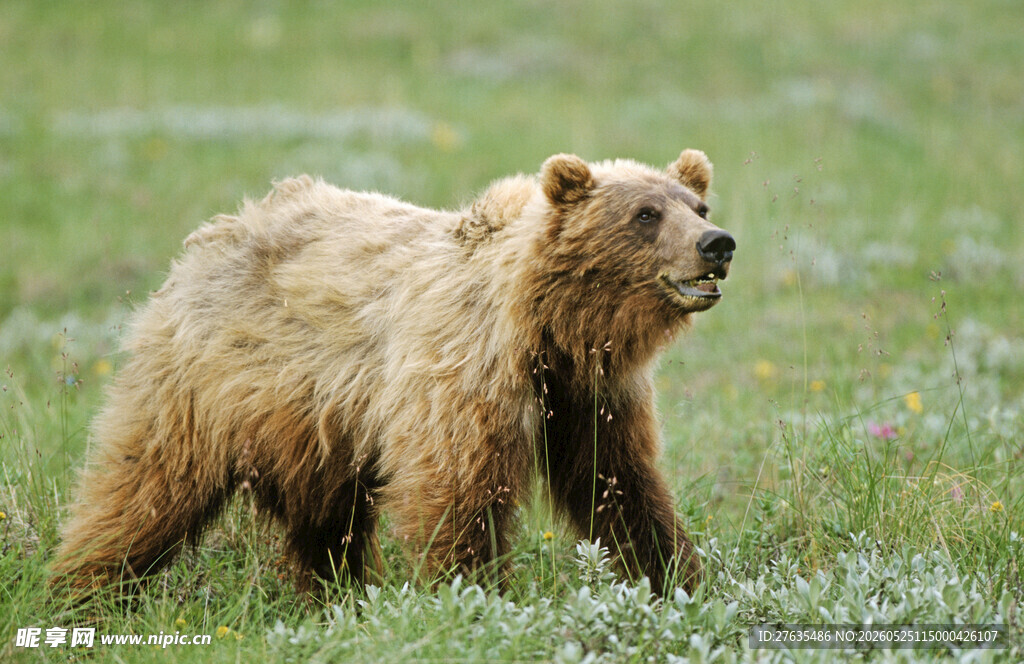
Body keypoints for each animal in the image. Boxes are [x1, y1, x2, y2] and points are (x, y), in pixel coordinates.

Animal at [53, 149, 735, 596]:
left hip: (315, 422)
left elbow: (618, 481)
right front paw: (471, 591)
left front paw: (675, 576)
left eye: (697, 204)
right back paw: (84, 584)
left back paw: (335, 592)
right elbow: (459, 487)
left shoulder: (589, 394)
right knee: (147, 483)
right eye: (646, 213)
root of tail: (216, 231)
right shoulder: (462, 370)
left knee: (326, 519)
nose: (717, 244)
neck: (549, 326)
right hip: (206, 380)